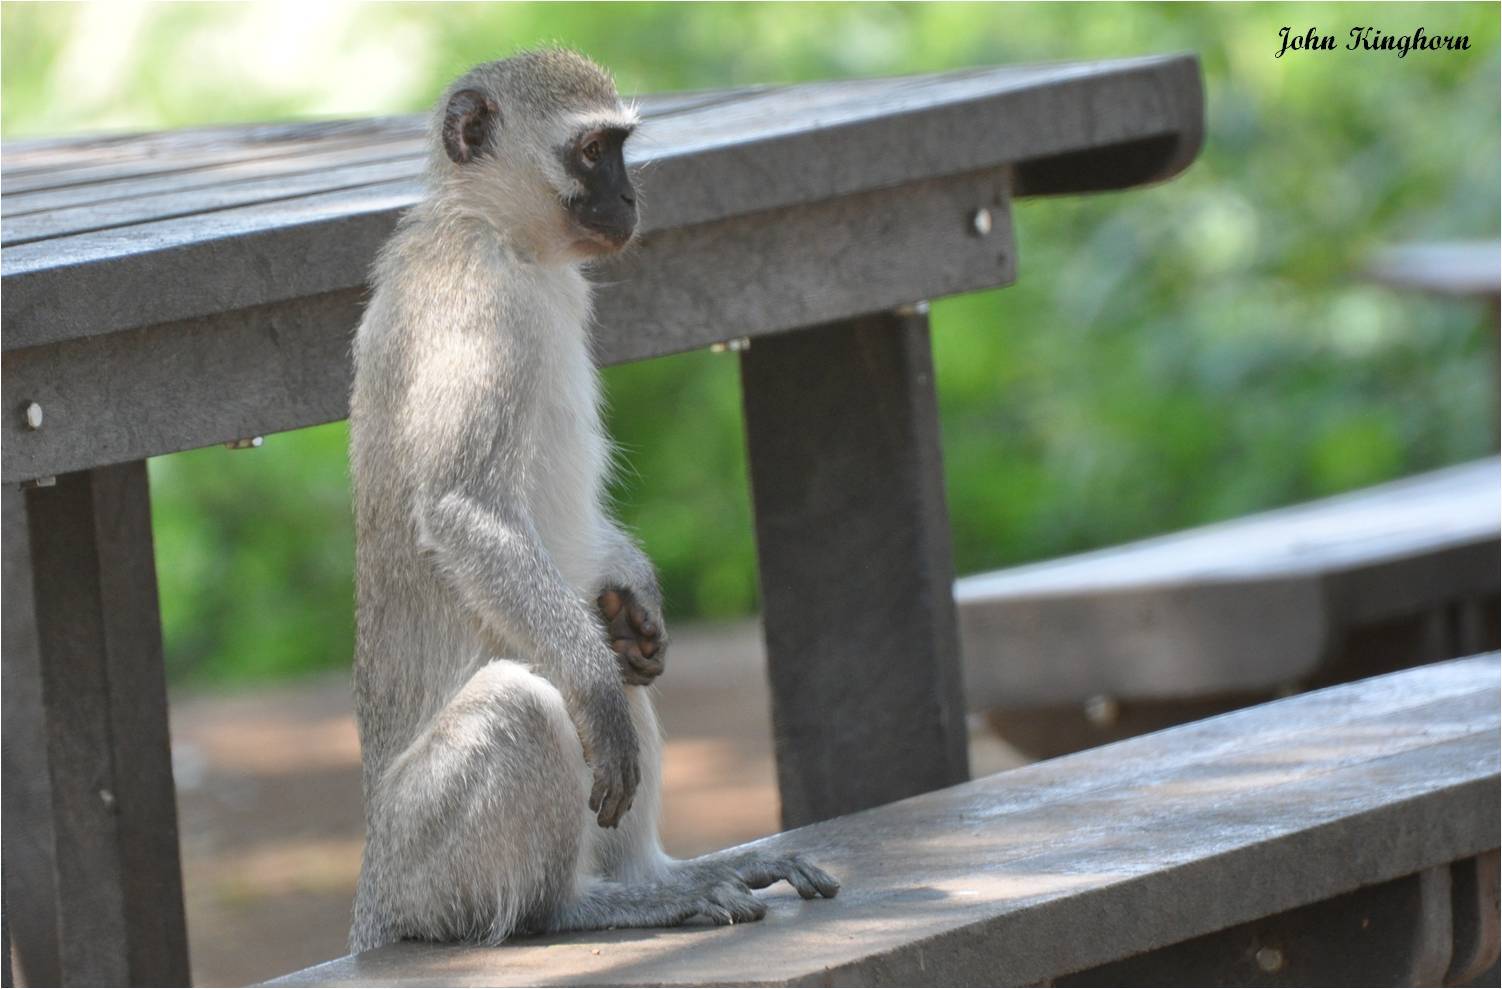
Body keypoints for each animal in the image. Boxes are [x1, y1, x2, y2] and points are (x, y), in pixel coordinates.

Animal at [346, 49, 841, 949]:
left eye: (620, 148)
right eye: (590, 153)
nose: (630, 198)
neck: (492, 233)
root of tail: (380, 897)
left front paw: (634, 588)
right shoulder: (477, 310)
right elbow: (465, 510)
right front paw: (599, 691)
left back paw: (663, 872)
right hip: (425, 858)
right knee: (526, 703)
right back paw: (578, 904)